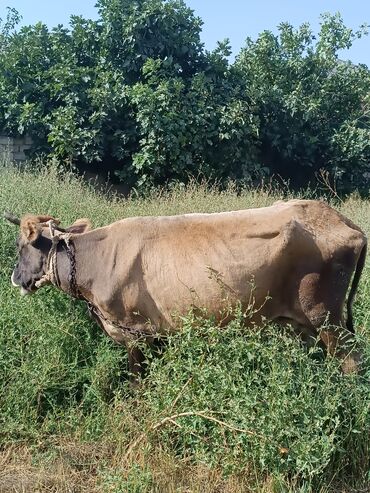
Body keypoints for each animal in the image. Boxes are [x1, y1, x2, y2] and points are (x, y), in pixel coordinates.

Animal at [5, 199, 368, 376]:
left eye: (22, 247)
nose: (15, 278)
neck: (97, 261)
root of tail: (341, 220)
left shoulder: (136, 333)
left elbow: (137, 381)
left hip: (326, 317)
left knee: (351, 362)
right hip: (302, 324)